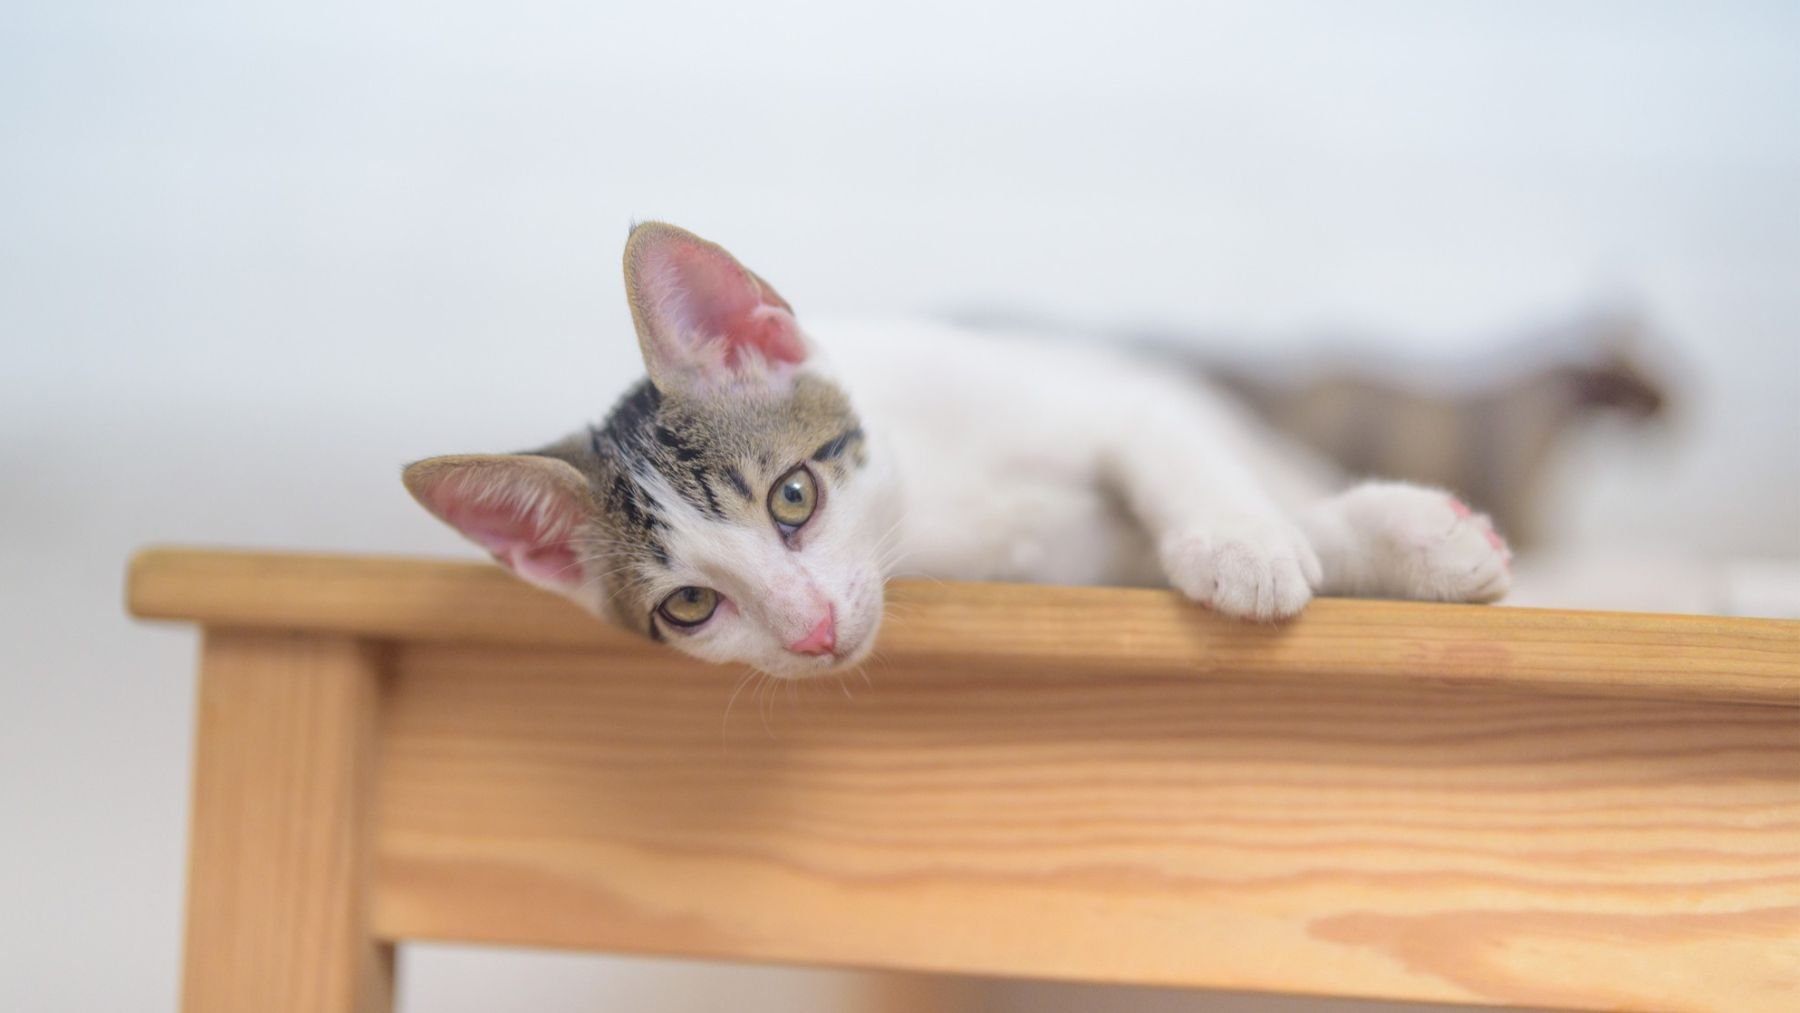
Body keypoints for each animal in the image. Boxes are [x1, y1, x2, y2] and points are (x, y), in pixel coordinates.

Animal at [401, 225, 1512, 676]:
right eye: (689, 606)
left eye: (793, 497)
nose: (810, 634)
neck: (928, 500)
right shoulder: (1083, 570)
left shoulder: (1112, 401)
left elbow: (1165, 450)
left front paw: (1256, 541)